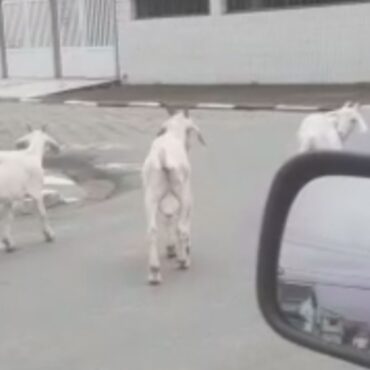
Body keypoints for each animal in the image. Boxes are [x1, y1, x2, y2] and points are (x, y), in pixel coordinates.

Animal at [142, 108, 205, 284]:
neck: (173, 134)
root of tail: (163, 158)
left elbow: (168, 217)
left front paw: (171, 249)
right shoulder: (188, 198)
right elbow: (182, 225)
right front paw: (184, 252)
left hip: (151, 196)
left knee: (152, 230)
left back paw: (154, 272)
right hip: (183, 193)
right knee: (181, 227)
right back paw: (183, 261)